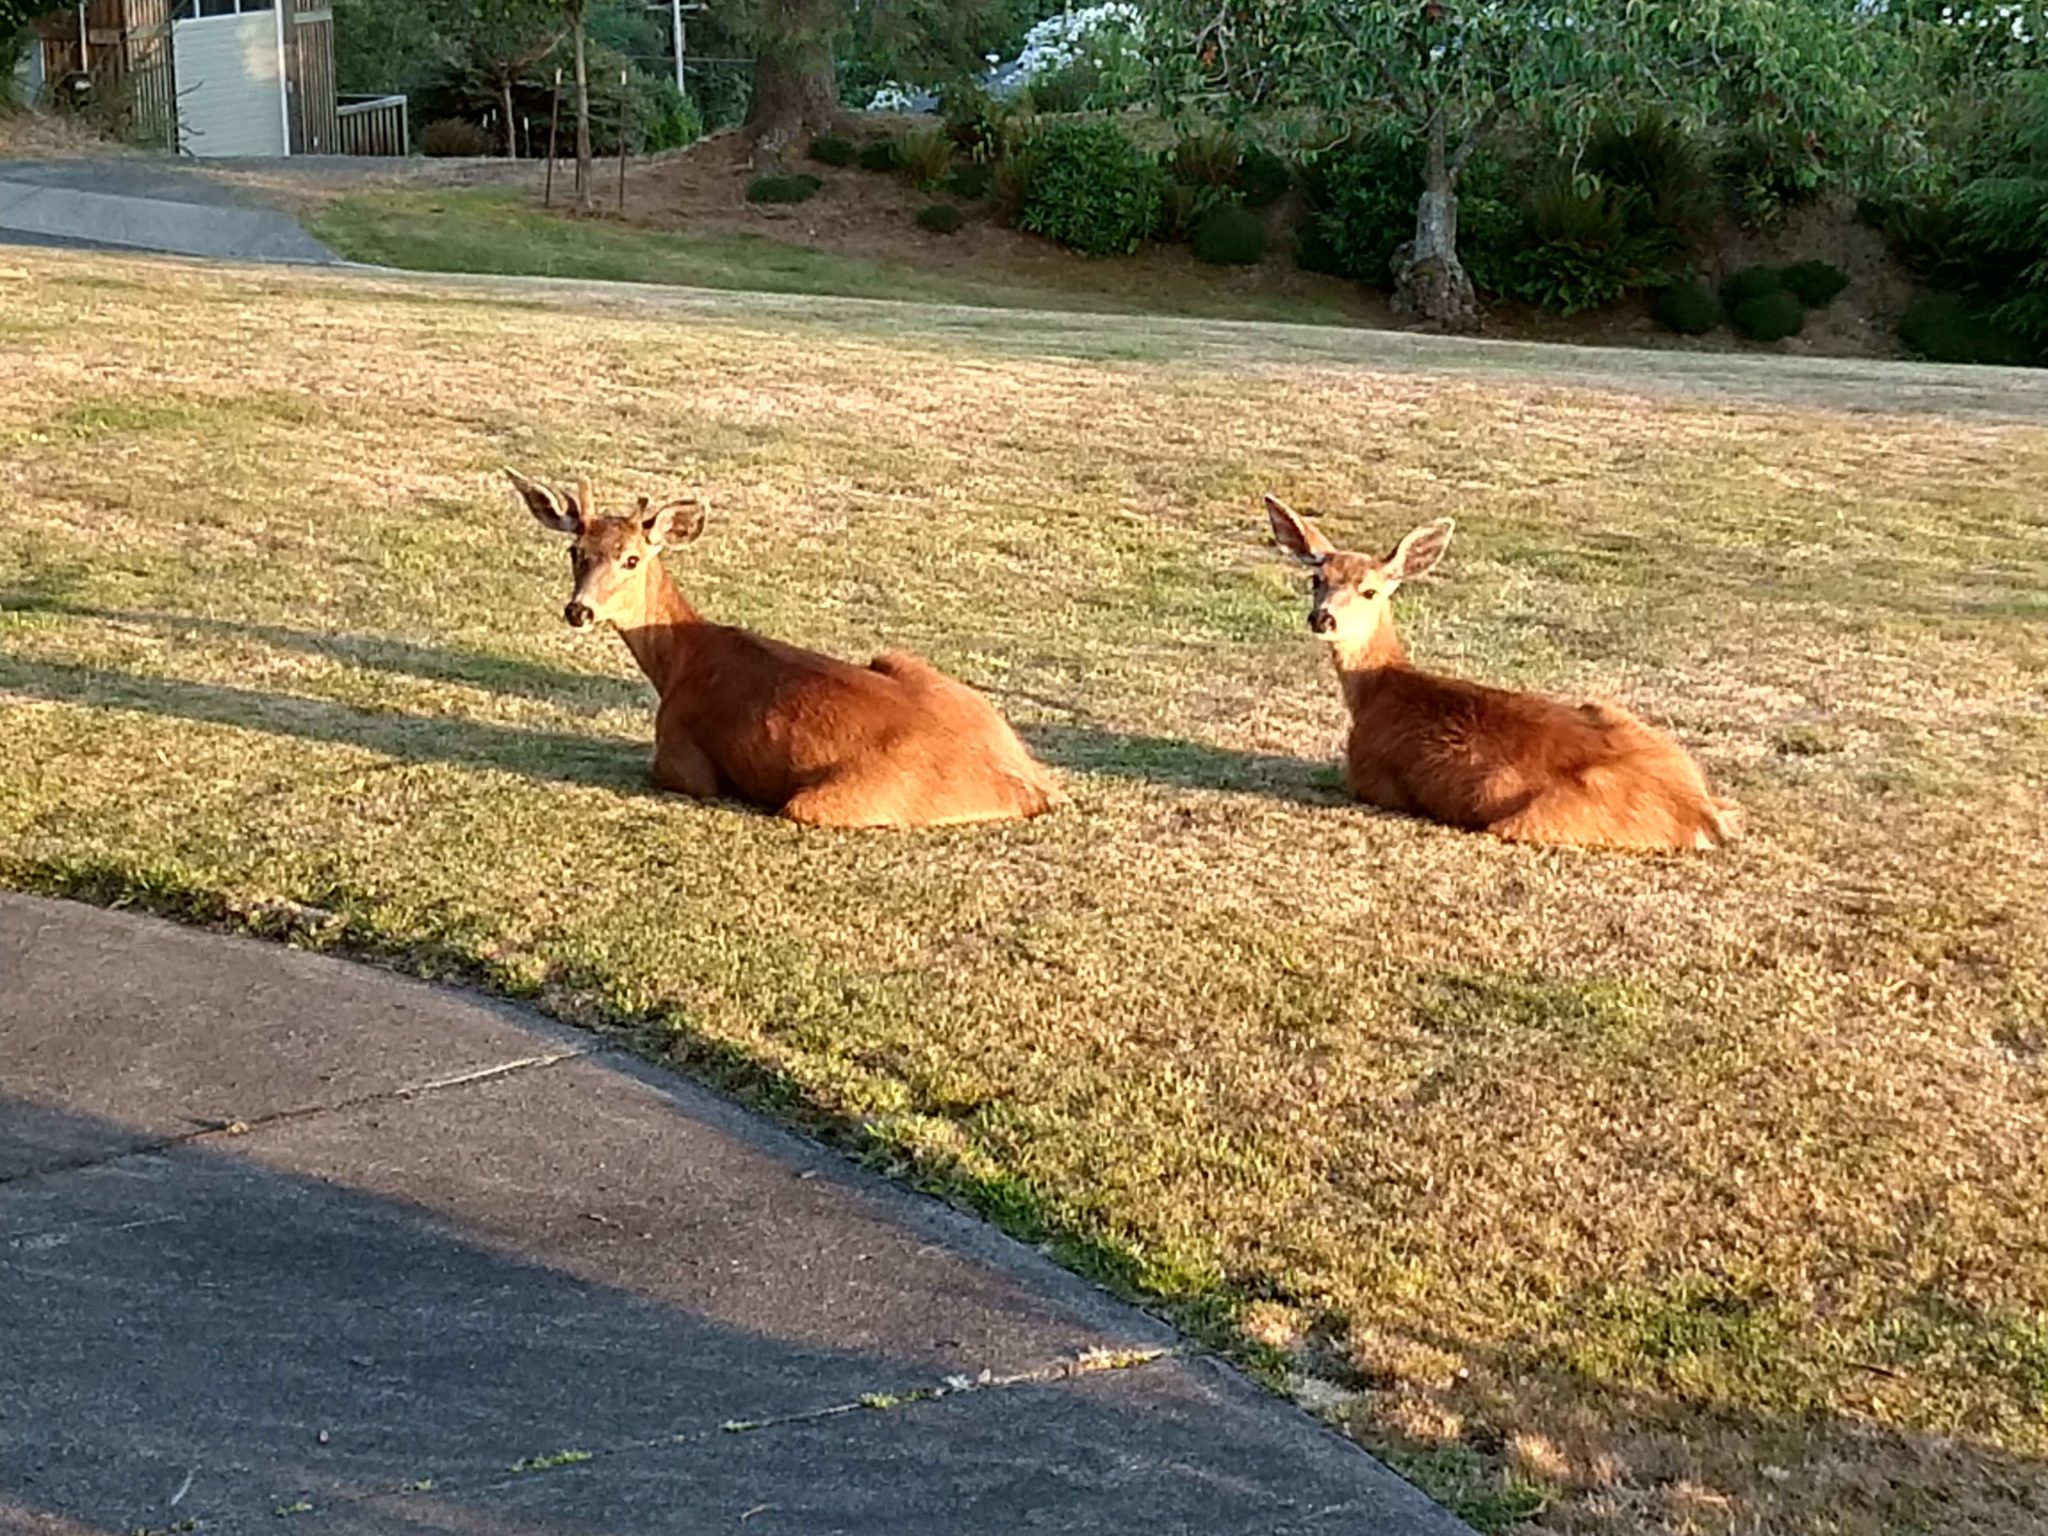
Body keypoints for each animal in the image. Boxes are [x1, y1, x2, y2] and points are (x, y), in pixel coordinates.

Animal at [507, 468, 1056, 831]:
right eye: (575, 551)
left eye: (631, 559)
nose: (579, 611)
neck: (680, 663)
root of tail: (1033, 783)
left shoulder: (684, 759)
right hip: (907, 663)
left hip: (833, 799)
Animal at [1261, 499, 1728, 856]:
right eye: (1316, 579)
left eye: (1370, 590)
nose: (1323, 618)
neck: (1378, 691)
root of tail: (1701, 814)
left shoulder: (1368, 778)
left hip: (1528, 819)